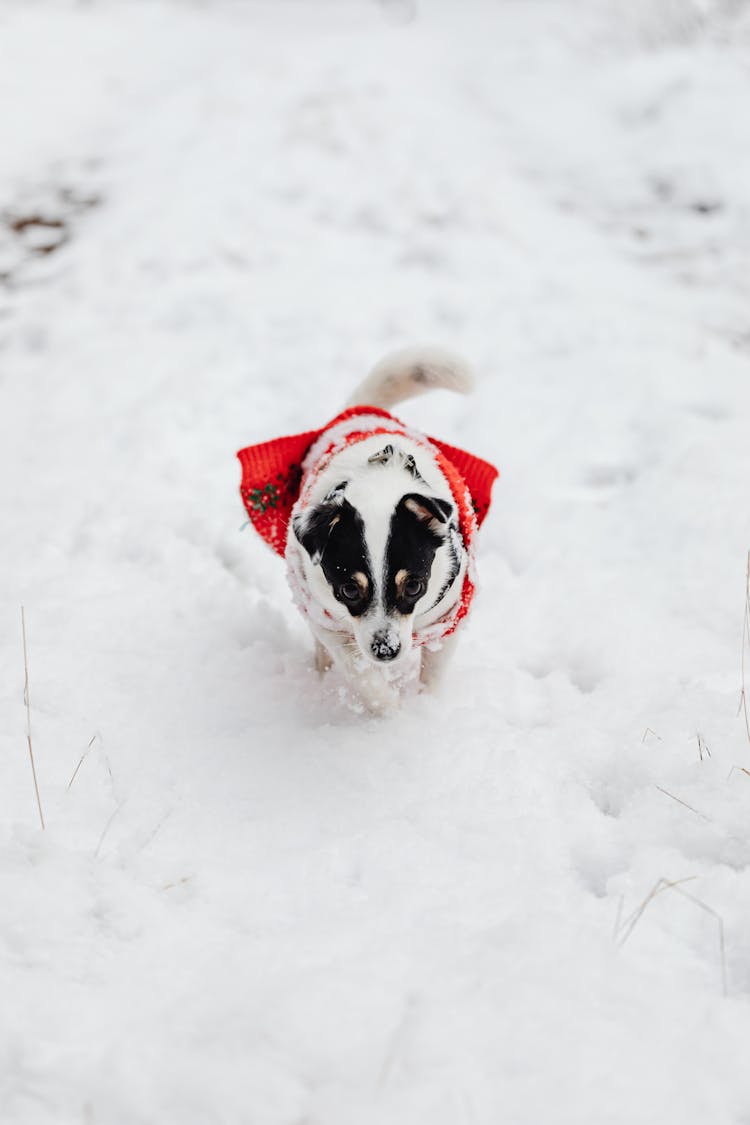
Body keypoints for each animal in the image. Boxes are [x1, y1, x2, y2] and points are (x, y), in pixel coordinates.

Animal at [239, 344, 499, 711]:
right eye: (350, 589)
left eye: (414, 586)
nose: (385, 650)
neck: (378, 484)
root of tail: (361, 414)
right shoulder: (328, 619)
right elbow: (361, 674)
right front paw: (391, 711)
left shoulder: (450, 616)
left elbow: (433, 672)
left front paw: (426, 707)